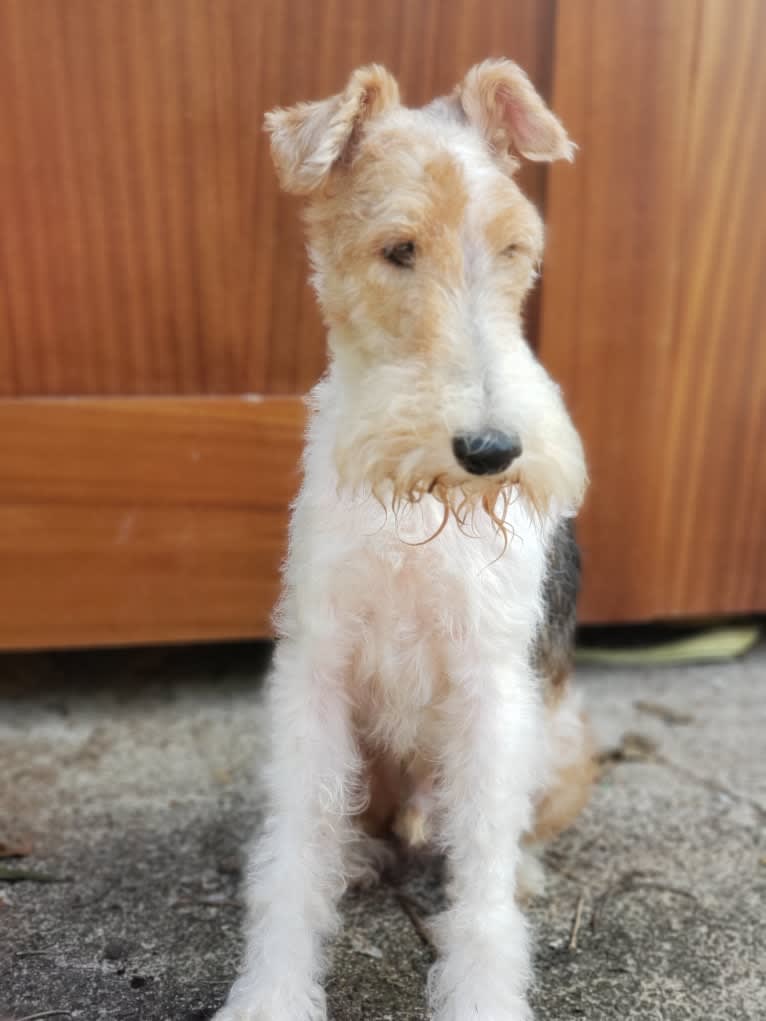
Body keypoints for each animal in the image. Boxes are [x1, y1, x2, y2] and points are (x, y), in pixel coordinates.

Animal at [213, 57, 596, 1021]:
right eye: (398, 250)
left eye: (515, 248)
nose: (491, 451)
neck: (419, 512)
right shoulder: (315, 667)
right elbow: (292, 858)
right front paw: (272, 992)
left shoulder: (491, 683)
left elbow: (483, 885)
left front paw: (485, 994)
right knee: (351, 824)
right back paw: (359, 856)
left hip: (558, 737)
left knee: (503, 837)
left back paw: (522, 868)